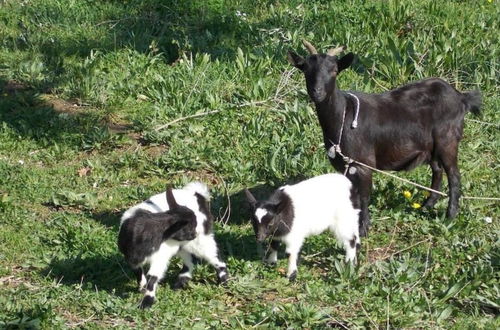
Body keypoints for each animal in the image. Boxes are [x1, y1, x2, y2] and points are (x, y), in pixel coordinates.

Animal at [290, 40, 480, 237]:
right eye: (306, 69)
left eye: (334, 70)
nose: (317, 92)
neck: (343, 115)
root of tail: (461, 97)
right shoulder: (346, 166)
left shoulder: (364, 164)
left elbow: (364, 197)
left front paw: (363, 229)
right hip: (431, 147)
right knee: (437, 170)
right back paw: (427, 206)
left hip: (447, 140)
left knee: (454, 175)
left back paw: (449, 216)